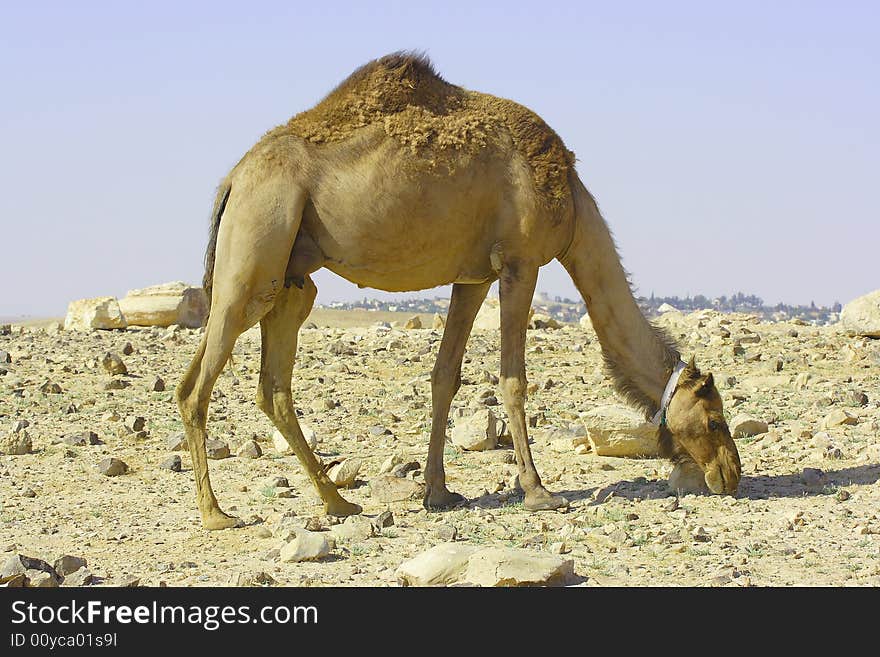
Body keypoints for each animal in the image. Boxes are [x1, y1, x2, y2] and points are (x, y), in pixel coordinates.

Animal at [175, 53, 740, 532]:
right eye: (715, 420)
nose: (731, 474)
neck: (574, 208)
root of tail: (234, 179)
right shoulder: (520, 262)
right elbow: (513, 380)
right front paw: (538, 492)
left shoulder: (472, 277)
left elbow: (445, 376)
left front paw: (439, 493)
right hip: (257, 246)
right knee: (199, 385)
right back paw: (216, 514)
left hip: (288, 277)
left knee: (266, 384)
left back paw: (338, 502)